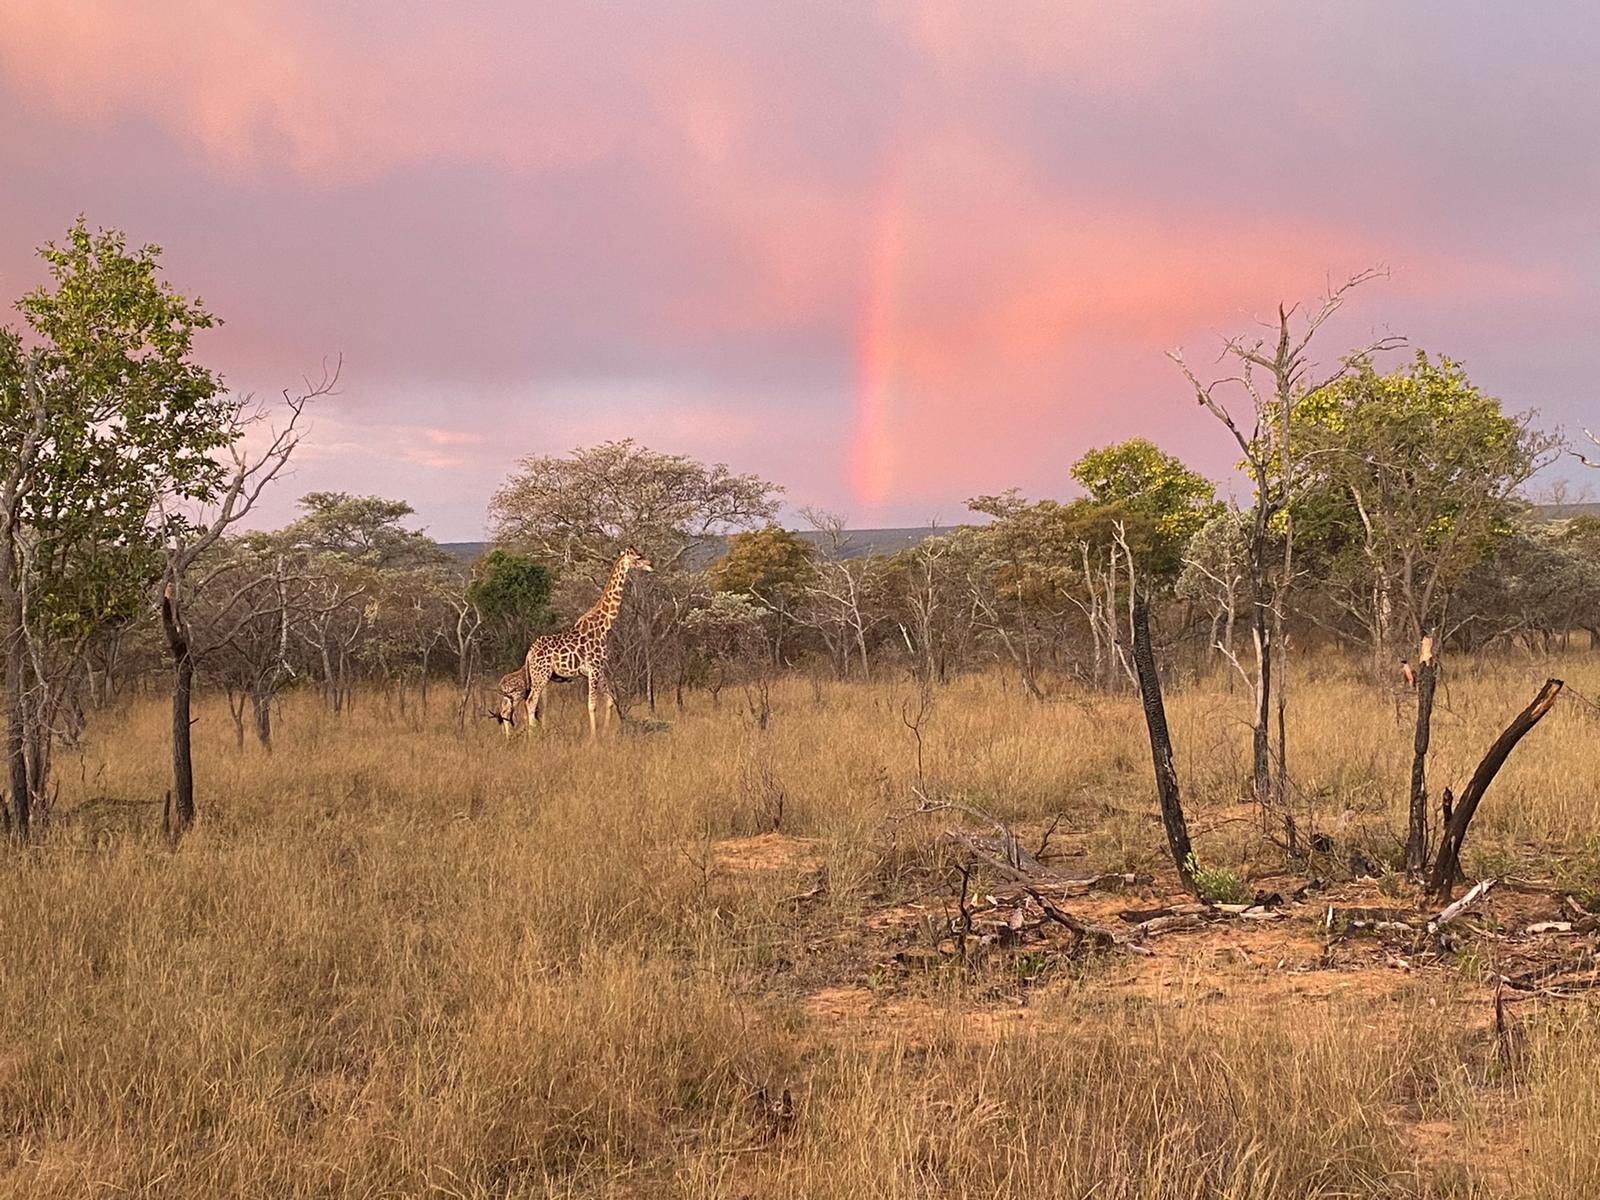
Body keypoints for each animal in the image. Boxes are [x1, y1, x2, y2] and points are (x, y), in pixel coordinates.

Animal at [521, 547, 652, 739]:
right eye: (638, 557)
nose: (651, 565)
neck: (604, 625)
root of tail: (529, 653)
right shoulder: (593, 669)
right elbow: (592, 705)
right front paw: (593, 737)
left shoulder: (599, 669)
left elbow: (610, 700)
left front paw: (605, 733)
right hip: (541, 675)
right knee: (530, 702)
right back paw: (532, 737)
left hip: (542, 677)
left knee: (539, 705)